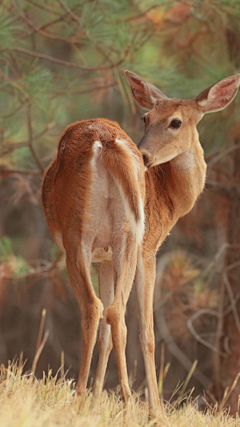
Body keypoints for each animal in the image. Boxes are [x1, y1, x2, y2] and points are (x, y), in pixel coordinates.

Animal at [41, 72, 240, 414]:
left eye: (176, 121)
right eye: (147, 117)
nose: (145, 155)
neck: (168, 197)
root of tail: (106, 141)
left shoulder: (110, 256)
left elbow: (112, 331)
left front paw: (100, 400)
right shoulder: (147, 248)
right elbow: (146, 331)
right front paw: (153, 410)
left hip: (97, 235)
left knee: (104, 310)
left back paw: (98, 400)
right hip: (98, 237)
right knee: (106, 311)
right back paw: (107, 400)